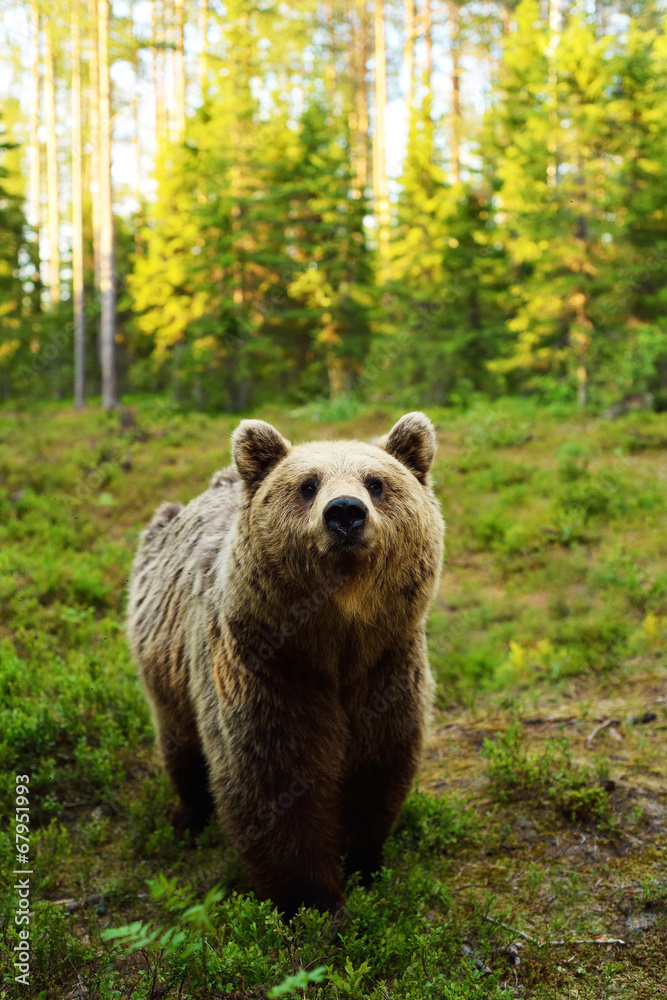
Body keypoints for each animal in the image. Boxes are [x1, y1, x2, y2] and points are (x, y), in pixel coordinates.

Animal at [127, 412, 444, 918]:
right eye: (308, 485)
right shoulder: (266, 670)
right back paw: (190, 819)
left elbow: (378, 767)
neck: (336, 639)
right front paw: (313, 901)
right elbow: (272, 783)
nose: (345, 512)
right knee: (179, 741)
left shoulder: (387, 668)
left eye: (376, 482)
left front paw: (364, 865)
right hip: (165, 657)